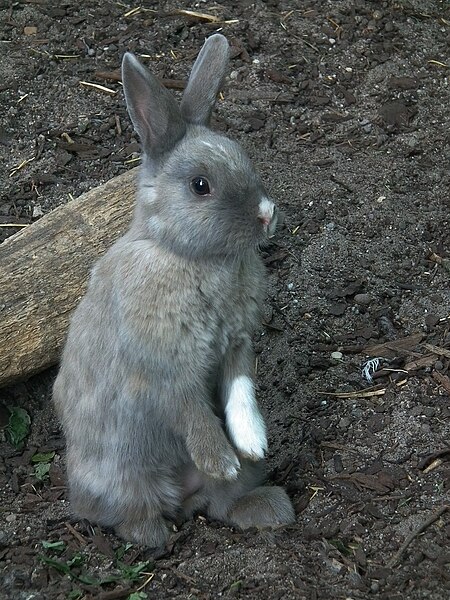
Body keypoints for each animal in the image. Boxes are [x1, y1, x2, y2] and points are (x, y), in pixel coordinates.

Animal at [53, 34, 296, 548]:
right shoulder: (165, 370)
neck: (189, 256)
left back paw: (267, 506)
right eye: (200, 185)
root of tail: (183, 500)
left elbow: (240, 389)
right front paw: (221, 459)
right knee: (128, 513)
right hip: (124, 475)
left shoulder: (237, 346)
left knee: (222, 504)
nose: (267, 214)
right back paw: (156, 536)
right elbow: (190, 412)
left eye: (244, 157)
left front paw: (252, 443)